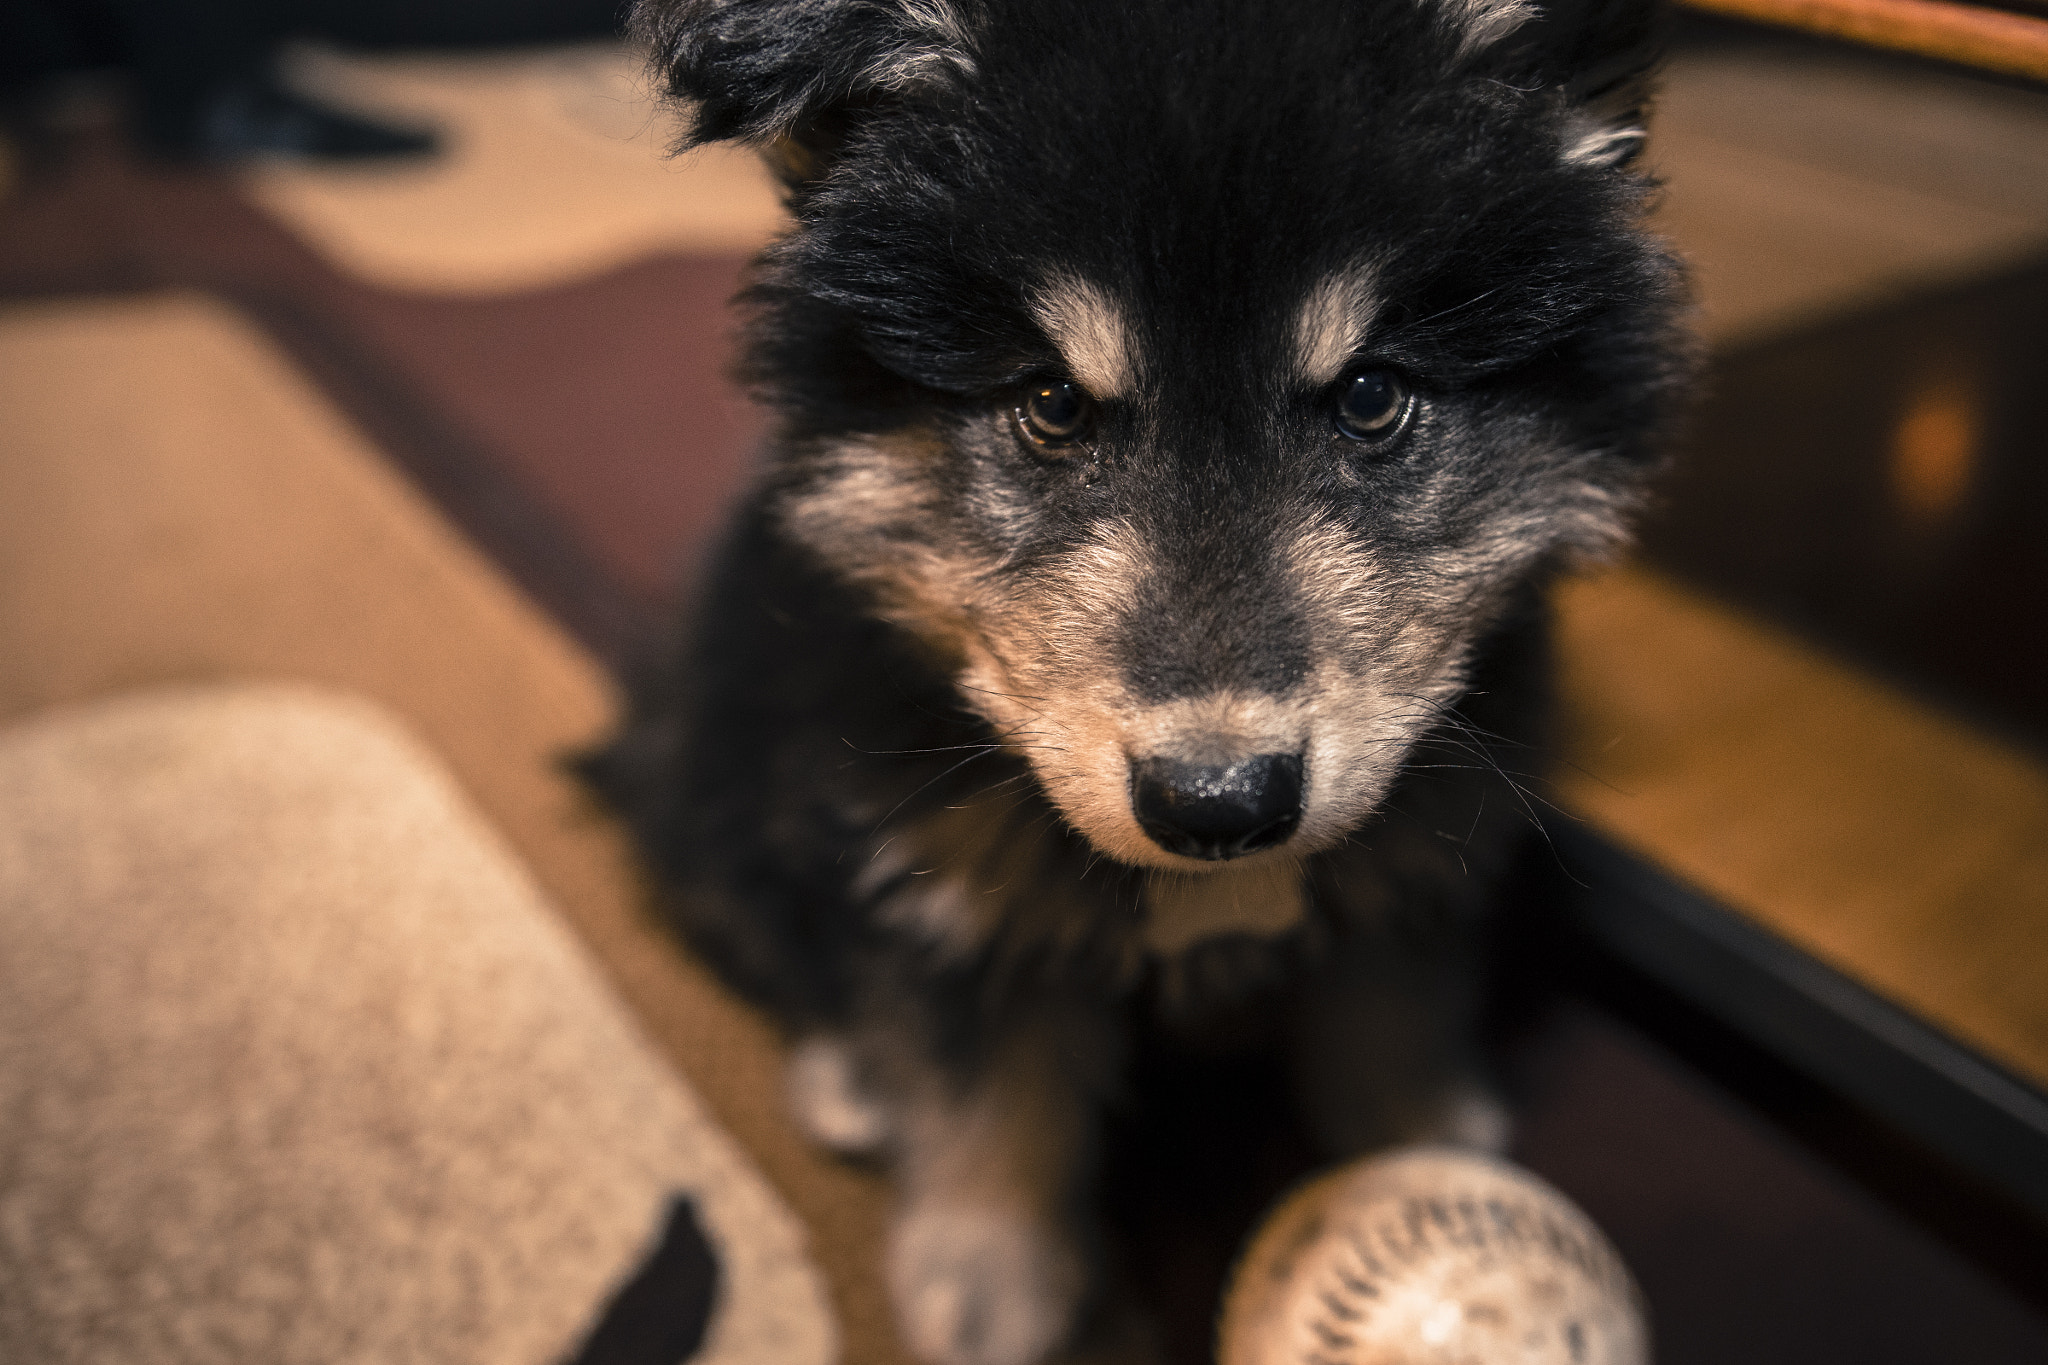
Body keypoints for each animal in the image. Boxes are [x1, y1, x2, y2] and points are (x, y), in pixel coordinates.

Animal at [585, 5, 1687, 1358]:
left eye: (1371, 396)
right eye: (1052, 402)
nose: (1219, 804)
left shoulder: (1429, 823)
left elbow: (1389, 1002)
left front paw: (1417, 1140)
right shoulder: (941, 877)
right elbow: (984, 1087)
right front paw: (992, 1281)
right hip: (709, 767)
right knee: (763, 928)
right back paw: (845, 1074)